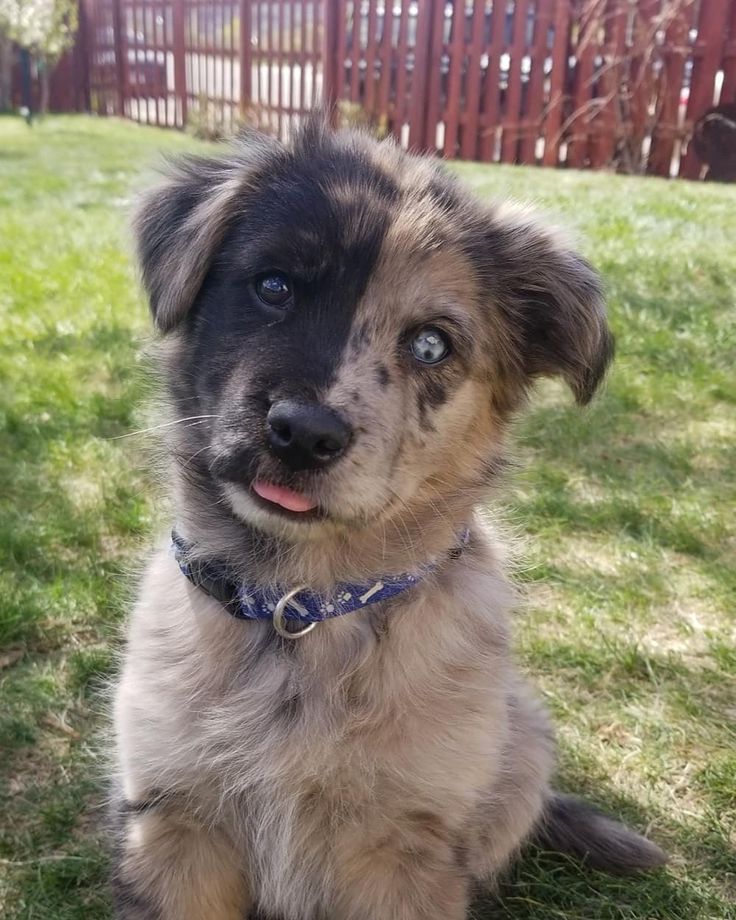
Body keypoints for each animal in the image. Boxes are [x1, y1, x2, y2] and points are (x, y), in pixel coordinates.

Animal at [110, 117, 668, 920]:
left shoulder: (404, 848)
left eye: (430, 343)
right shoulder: (176, 820)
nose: (304, 434)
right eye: (273, 286)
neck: (303, 607)